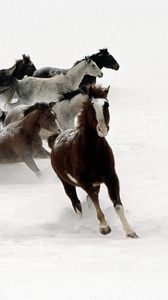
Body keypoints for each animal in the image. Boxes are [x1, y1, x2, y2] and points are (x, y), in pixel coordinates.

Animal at [48, 85, 138, 238]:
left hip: (96, 183)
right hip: (66, 183)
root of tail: (56, 140)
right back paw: (82, 225)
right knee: (76, 204)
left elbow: (117, 204)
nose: (102, 129)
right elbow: (95, 201)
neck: (93, 152)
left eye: (107, 105)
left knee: (86, 201)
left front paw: (130, 232)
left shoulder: (111, 177)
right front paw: (104, 227)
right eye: (91, 107)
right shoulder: (84, 181)